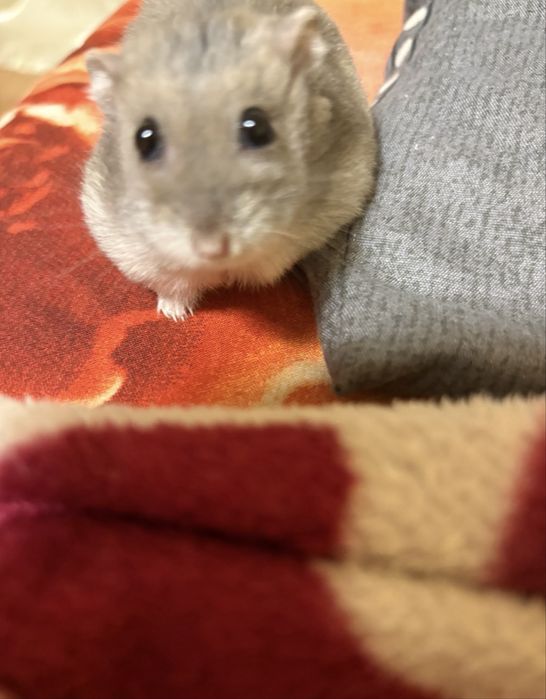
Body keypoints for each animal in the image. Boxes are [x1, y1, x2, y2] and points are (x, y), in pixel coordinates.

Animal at [81, 0, 376, 320]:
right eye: (144, 139)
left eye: (257, 127)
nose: (212, 249)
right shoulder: (126, 244)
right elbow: (173, 282)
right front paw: (174, 315)